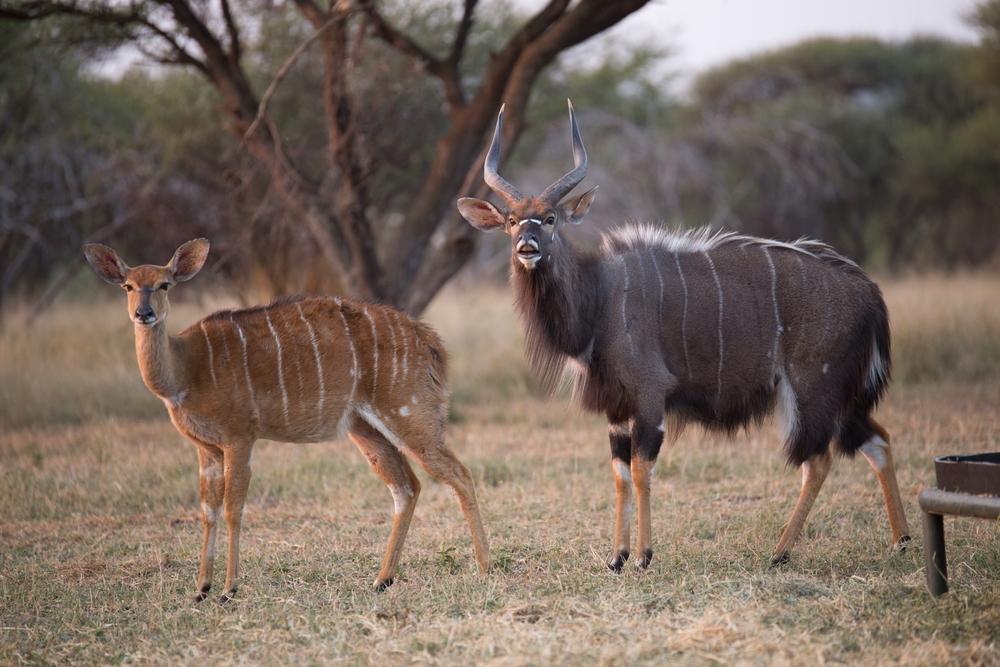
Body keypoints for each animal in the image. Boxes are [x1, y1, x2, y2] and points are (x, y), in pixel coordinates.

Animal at [83, 239, 489, 600]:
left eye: (164, 283)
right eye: (128, 285)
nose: (143, 313)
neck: (184, 369)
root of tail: (431, 342)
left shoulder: (239, 437)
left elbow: (233, 508)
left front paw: (228, 589)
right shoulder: (206, 449)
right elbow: (207, 510)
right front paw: (200, 589)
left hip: (409, 413)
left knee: (458, 473)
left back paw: (485, 568)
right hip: (365, 428)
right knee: (406, 487)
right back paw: (381, 580)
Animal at [457, 101, 910, 571]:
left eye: (549, 219)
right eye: (511, 220)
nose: (526, 246)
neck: (599, 295)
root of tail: (869, 291)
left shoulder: (650, 395)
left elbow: (641, 469)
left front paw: (643, 556)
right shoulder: (617, 409)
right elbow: (619, 473)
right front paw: (616, 557)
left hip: (811, 389)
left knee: (817, 459)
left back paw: (780, 551)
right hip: (842, 397)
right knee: (878, 441)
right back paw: (901, 541)